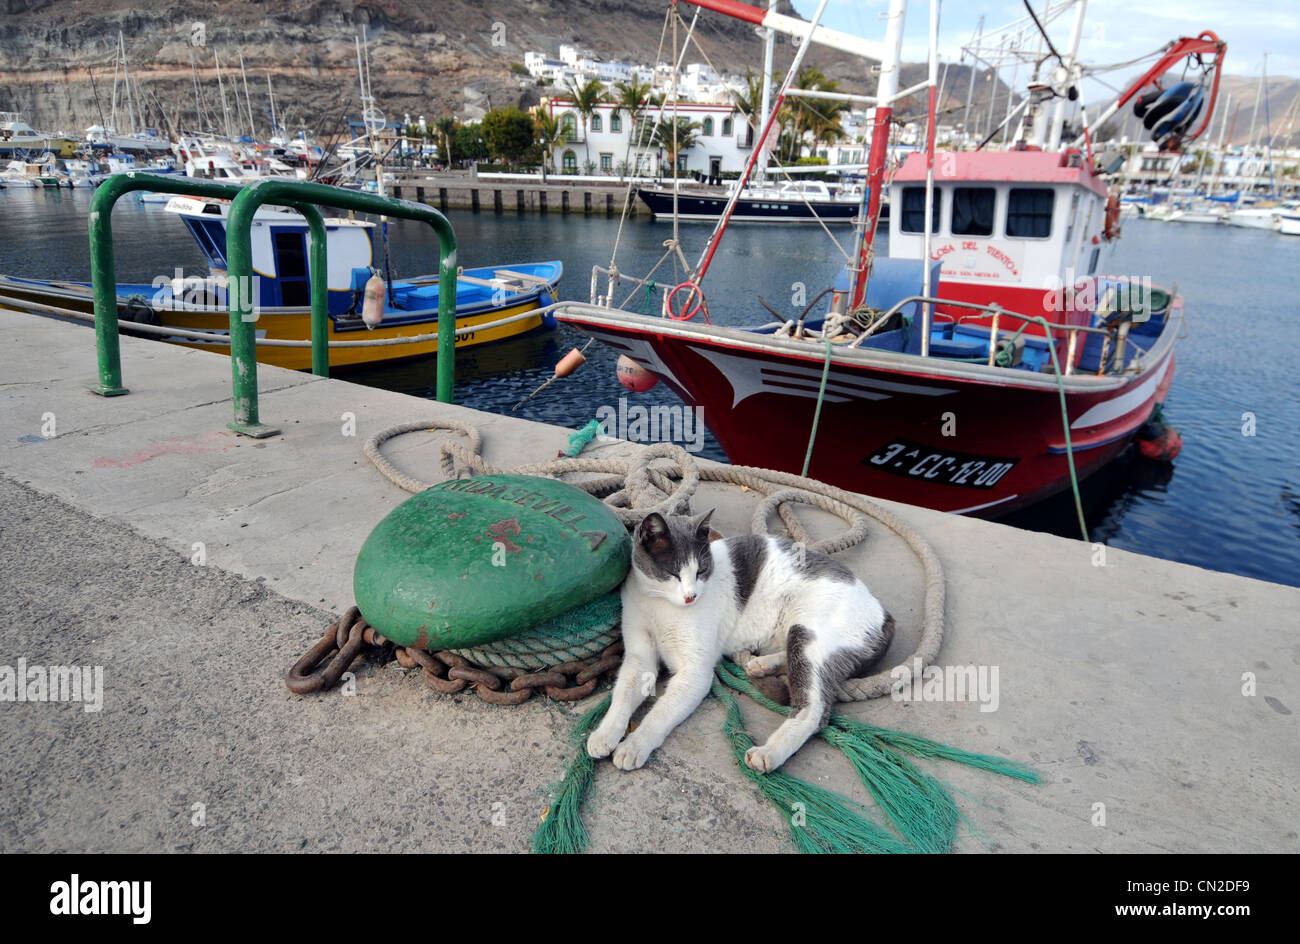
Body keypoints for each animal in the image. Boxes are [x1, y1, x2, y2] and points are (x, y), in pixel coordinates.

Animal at [590, 514, 894, 774]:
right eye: (674, 573)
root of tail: (883, 611)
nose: (691, 596)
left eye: (701, 571)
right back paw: (762, 664)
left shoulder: (695, 673)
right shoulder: (639, 656)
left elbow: (660, 713)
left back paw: (768, 753)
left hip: (807, 635)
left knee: (813, 710)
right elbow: (622, 695)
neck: (659, 603)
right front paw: (605, 734)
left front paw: (634, 745)